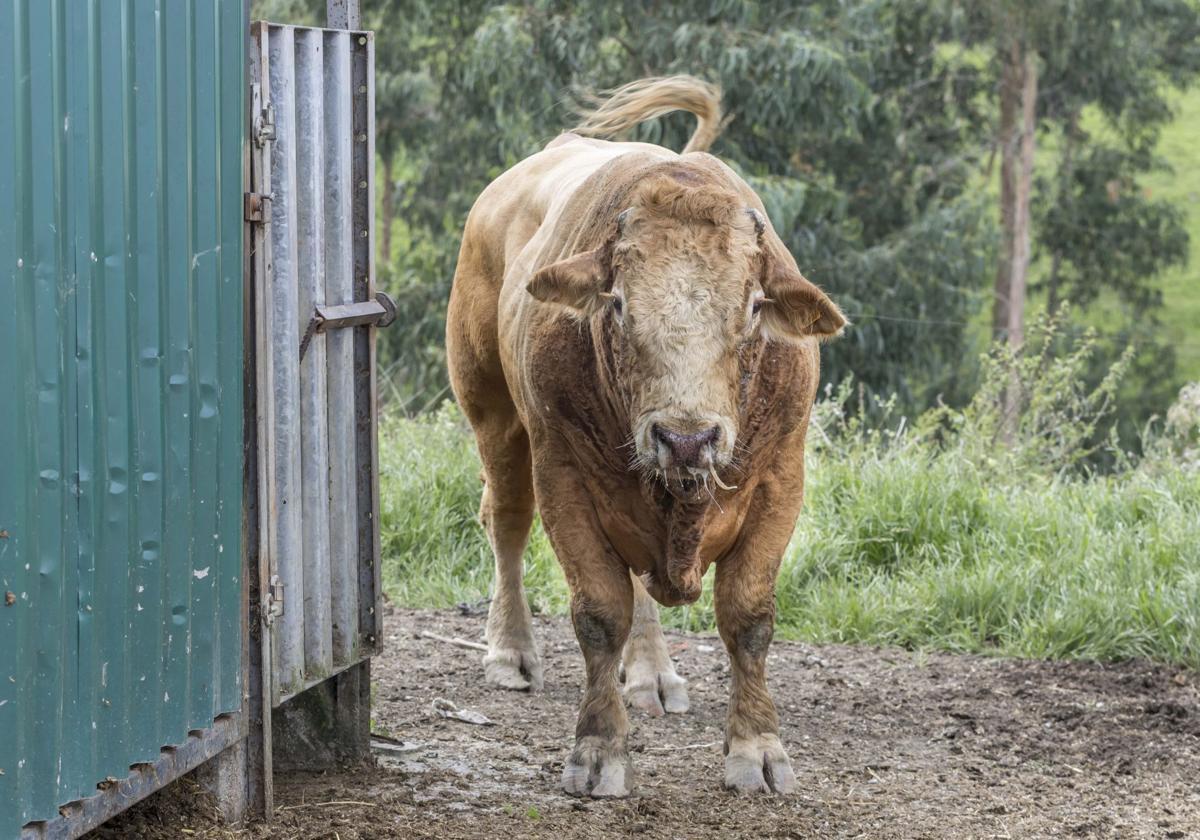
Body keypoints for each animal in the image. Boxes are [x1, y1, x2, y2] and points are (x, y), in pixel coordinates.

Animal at [446, 75, 849, 796]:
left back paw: (652, 672)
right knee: (508, 523)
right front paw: (598, 750)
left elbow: (748, 615)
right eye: (619, 303)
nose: (686, 440)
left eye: (752, 305)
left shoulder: (782, 475)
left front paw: (759, 748)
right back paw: (510, 651)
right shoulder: (564, 475)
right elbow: (599, 612)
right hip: (493, 414)